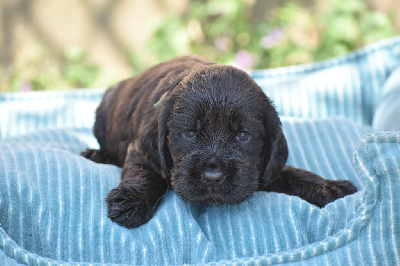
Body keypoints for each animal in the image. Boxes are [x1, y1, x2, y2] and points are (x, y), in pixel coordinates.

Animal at [81, 55, 356, 228]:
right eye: (189, 133)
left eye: (243, 135)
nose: (213, 177)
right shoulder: (142, 153)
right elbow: (145, 175)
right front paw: (130, 203)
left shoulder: (262, 170)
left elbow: (293, 174)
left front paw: (329, 186)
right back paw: (96, 155)